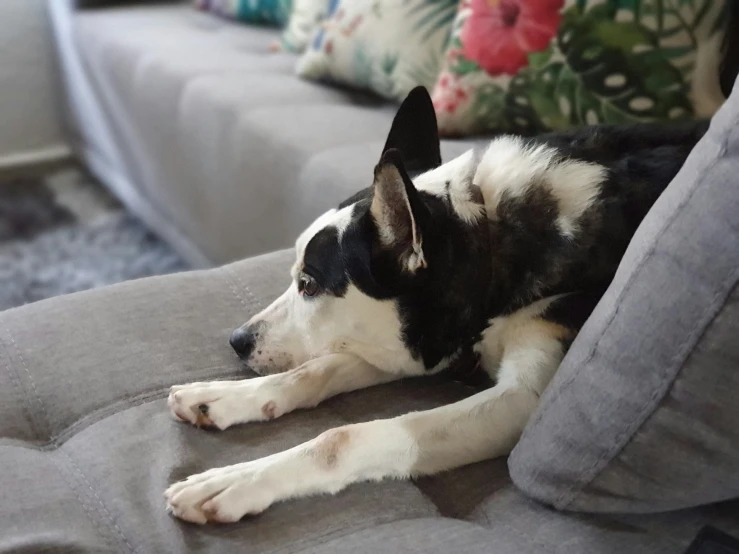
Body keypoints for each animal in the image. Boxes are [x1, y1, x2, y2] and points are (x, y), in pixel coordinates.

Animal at [165, 86, 708, 520]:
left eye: (310, 284)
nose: (237, 341)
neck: (492, 236)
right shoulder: (426, 340)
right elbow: (320, 368)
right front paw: (225, 397)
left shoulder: (521, 401)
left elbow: (344, 436)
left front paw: (237, 480)